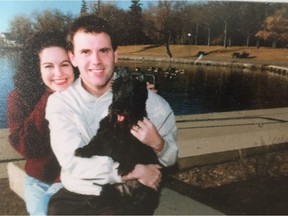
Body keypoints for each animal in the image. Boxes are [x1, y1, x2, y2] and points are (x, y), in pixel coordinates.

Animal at [74, 69, 160, 214]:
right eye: (117, 90)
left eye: (133, 92)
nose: (119, 109)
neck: (121, 128)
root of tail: (126, 194)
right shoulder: (103, 137)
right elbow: (93, 144)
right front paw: (82, 150)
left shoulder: (137, 143)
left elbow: (131, 153)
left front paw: (124, 166)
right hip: (110, 187)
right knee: (108, 197)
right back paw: (94, 202)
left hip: (146, 193)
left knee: (138, 205)